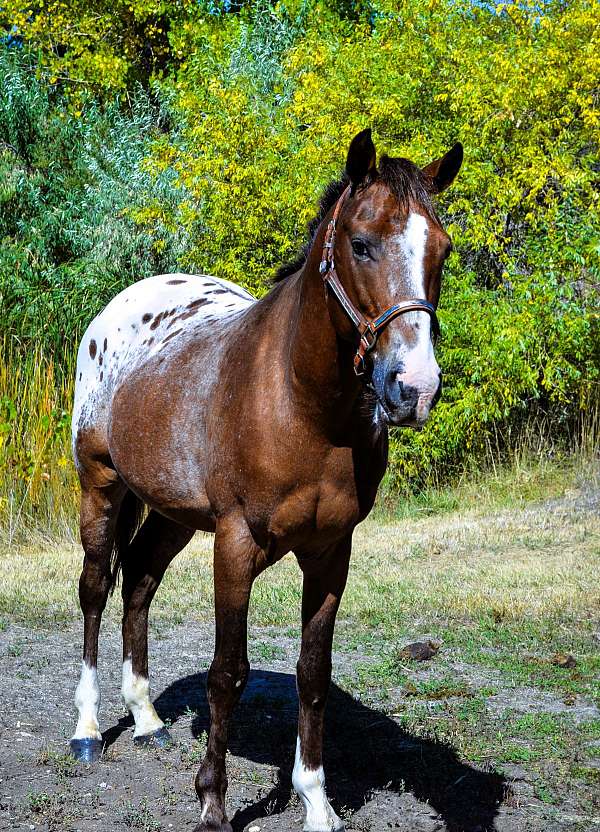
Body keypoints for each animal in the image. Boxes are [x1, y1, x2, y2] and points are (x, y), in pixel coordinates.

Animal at [70, 130, 464, 832]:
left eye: (441, 249)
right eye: (361, 243)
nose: (413, 388)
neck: (299, 406)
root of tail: (118, 308)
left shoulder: (331, 553)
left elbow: (313, 674)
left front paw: (315, 802)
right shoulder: (235, 545)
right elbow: (228, 672)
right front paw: (213, 802)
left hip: (170, 513)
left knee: (138, 580)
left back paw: (144, 718)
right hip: (101, 484)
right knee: (95, 588)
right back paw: (89, 729)